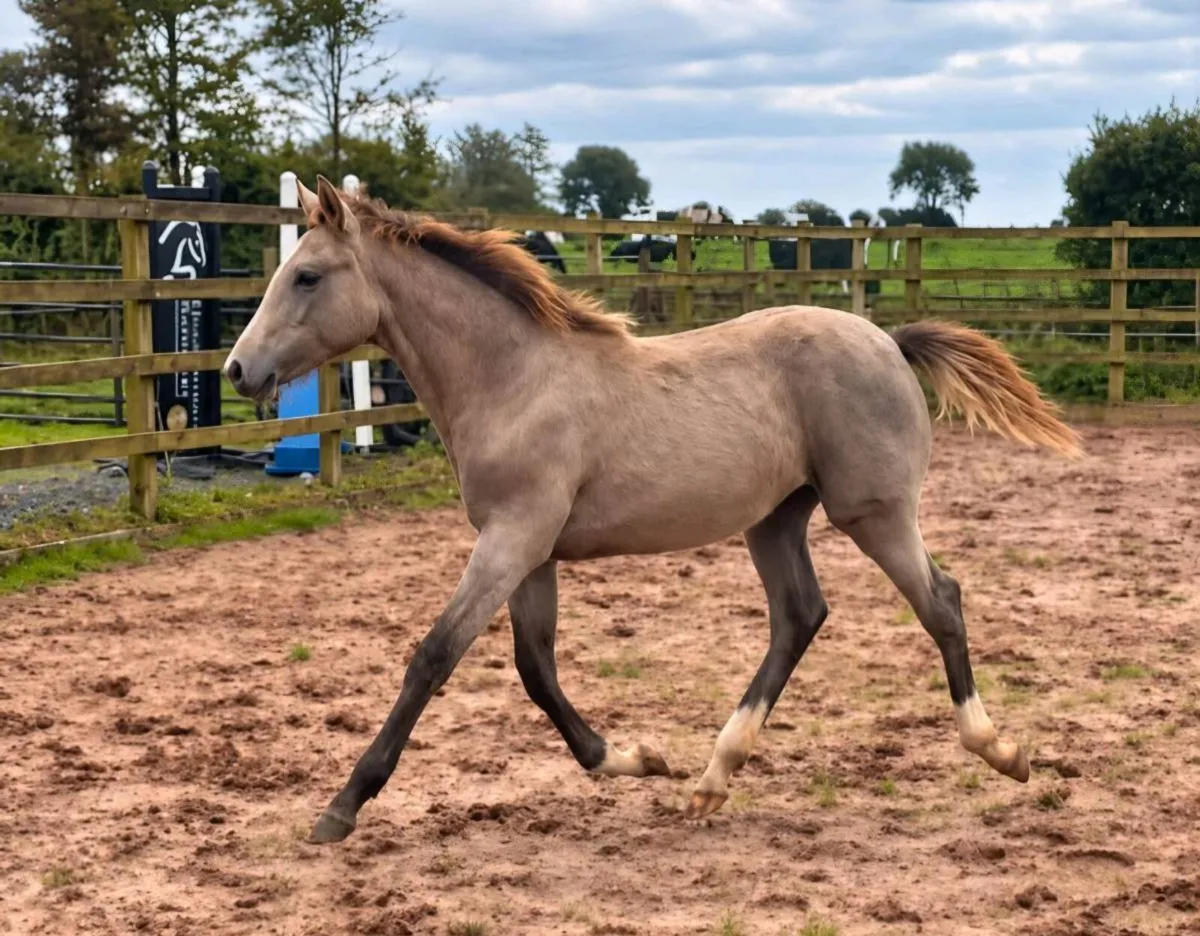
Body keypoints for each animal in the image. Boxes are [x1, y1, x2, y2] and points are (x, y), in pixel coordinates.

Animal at [224, 176, 1082, 845]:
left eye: (307, 277)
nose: (238, 369)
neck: (512, 378)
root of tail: (890, 341)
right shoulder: (531, 550)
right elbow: (535, 667)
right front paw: (634, 760)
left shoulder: (512, 539)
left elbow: (434, 657)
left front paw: (342, 806)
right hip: (776, 518)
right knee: (800, 616)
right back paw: (709, 779)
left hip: (873, 512)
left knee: (941, 601)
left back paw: (1000, 751)